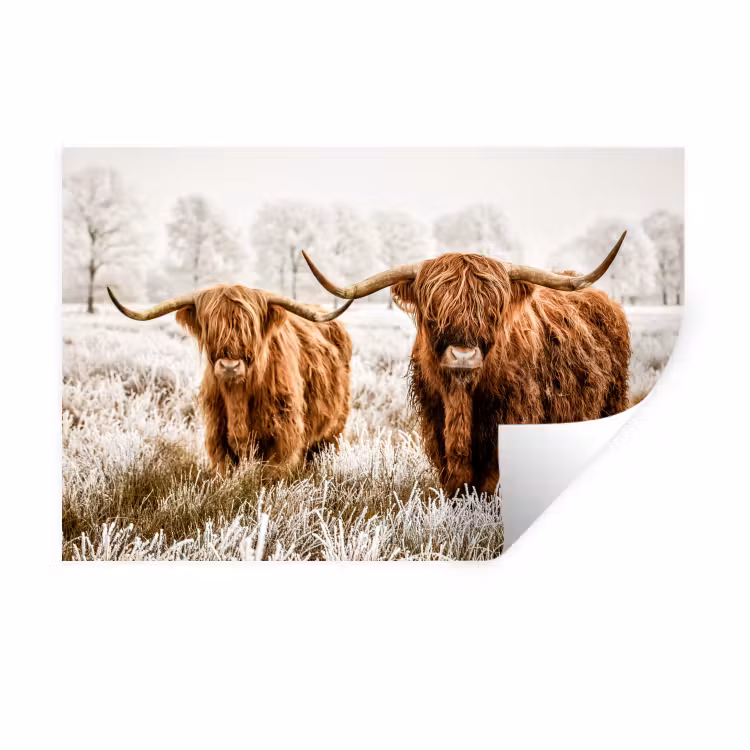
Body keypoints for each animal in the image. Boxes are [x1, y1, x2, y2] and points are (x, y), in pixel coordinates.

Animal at [107, 284, 353, 477]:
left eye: (249, 328)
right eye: (210, 327)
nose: (229, 366)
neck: (238, 398)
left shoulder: (283, 439)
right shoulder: (217, 439)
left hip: (333, 431)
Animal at [302, 232, 630, 497]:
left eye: (492, 311)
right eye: (433, 311)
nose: (463, 355)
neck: (461, 398)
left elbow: (491, 480)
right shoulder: (435, 421)